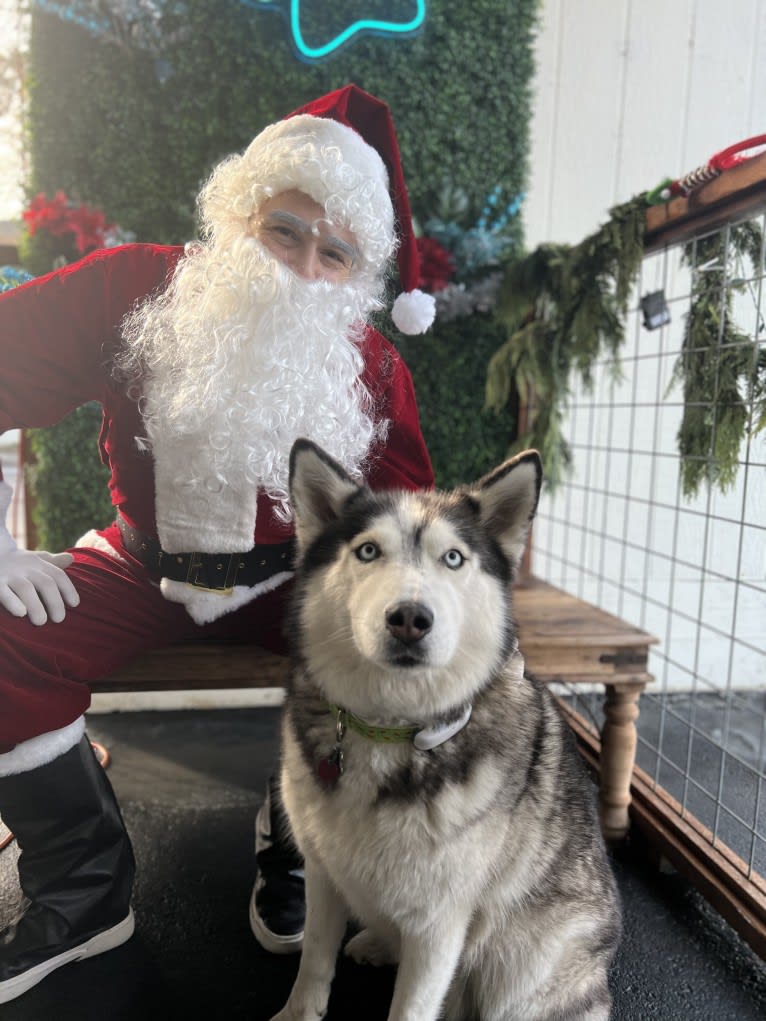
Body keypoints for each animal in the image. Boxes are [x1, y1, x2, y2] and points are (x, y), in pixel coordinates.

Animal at [273, 439, 620, 1021]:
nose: (410, 618)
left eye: (453, 558)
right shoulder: (321, 876)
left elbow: (411, 1009)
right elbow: (313, 965)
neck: (390, 729)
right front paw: (299, 1011)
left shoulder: (440, 929)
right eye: (368, 551)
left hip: (518, 968)